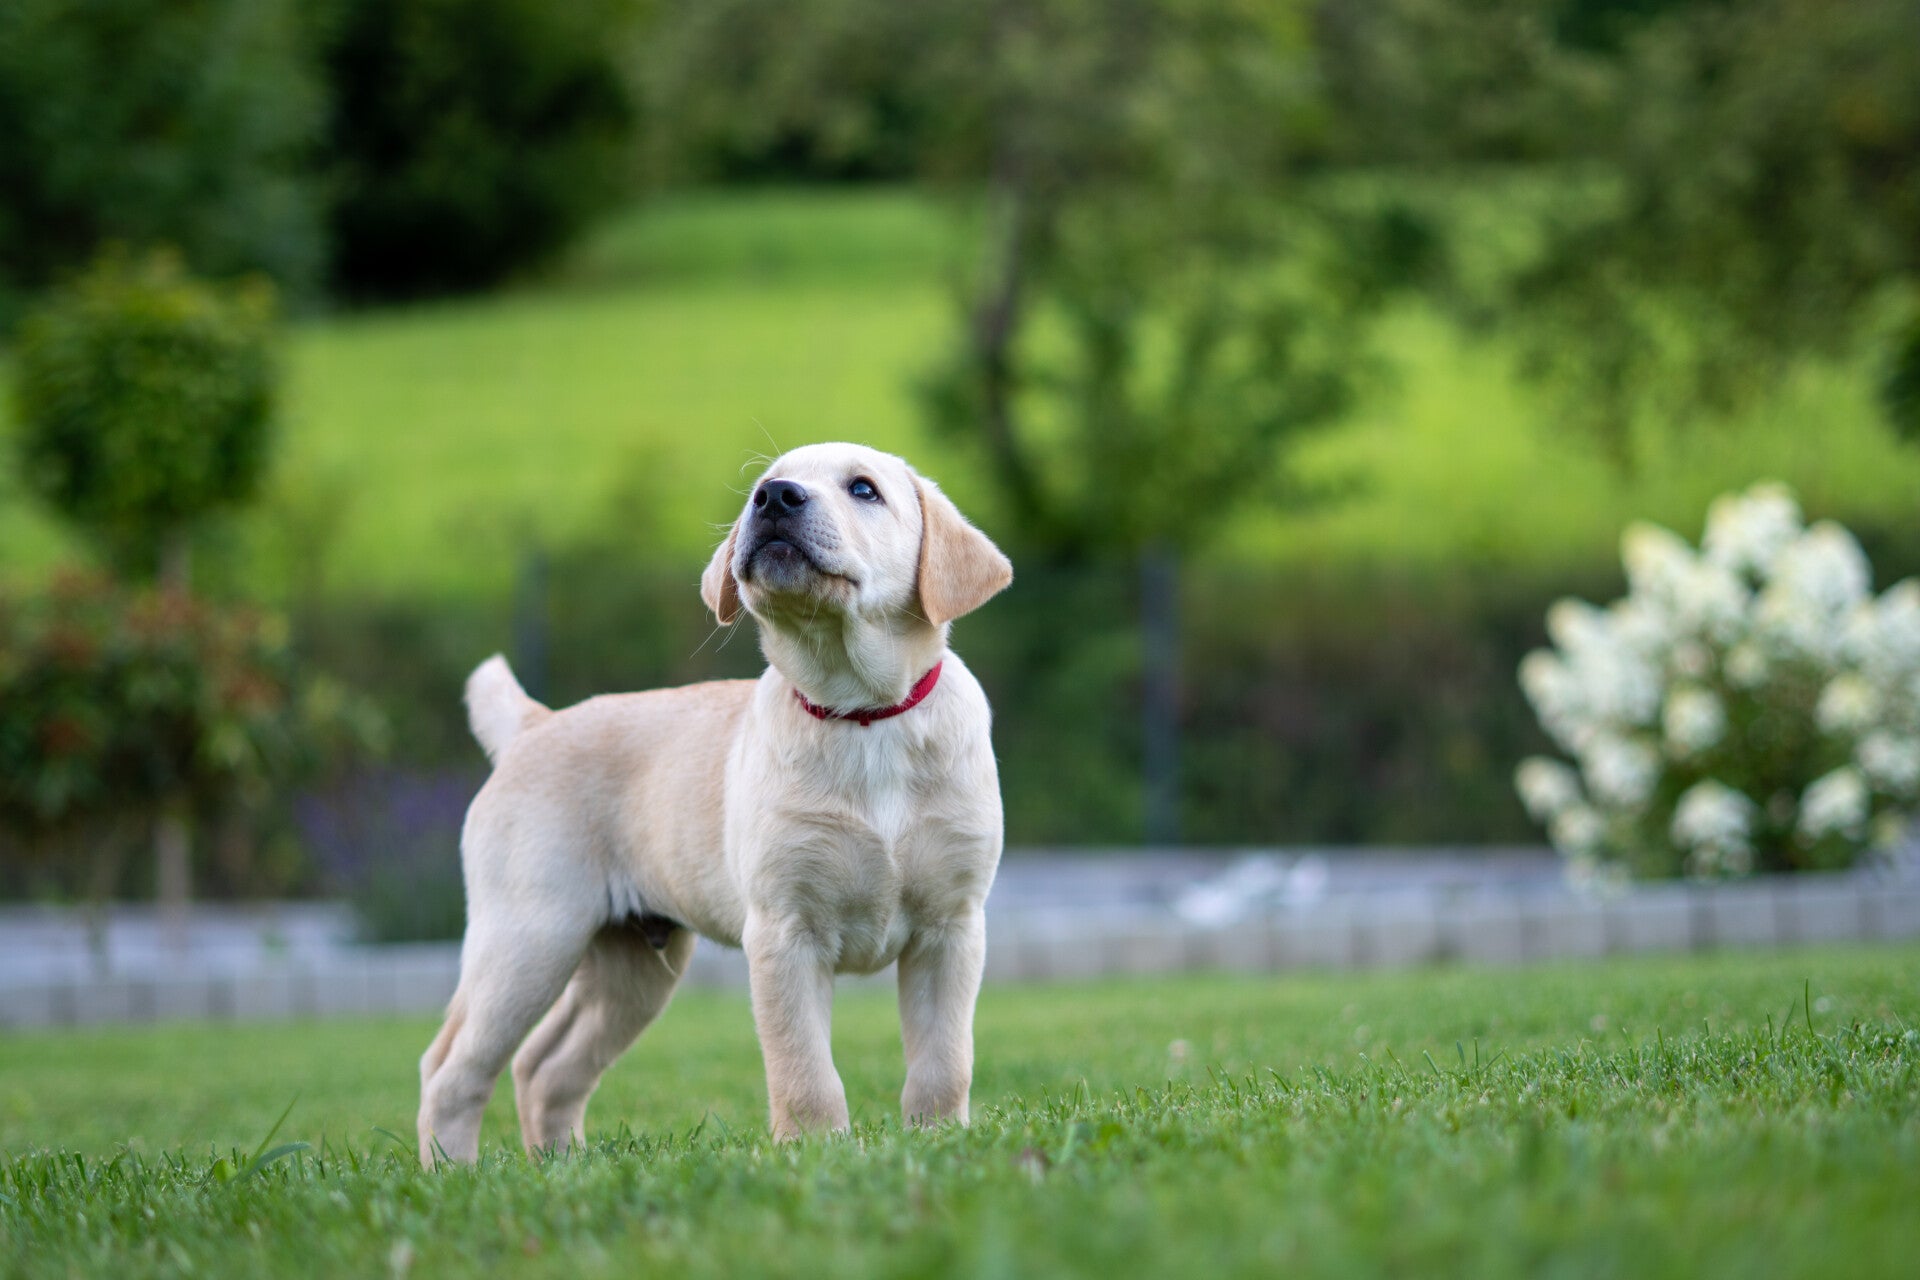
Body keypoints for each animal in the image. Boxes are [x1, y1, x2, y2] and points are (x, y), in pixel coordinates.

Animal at [417, 443, 1013, 1164]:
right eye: (766, 484)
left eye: (864, 489)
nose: (776, 497)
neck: (861, 714)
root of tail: (535, 724)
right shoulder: (784, 931)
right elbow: (804, 1069)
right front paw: (816, 1151)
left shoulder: (951, 928)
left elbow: (943, 1060)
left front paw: (938, 1142)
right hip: (530, 935)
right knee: (452, 1066)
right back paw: (452, 1173)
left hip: (632, 965)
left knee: (544, 1066)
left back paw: (563, 1167)